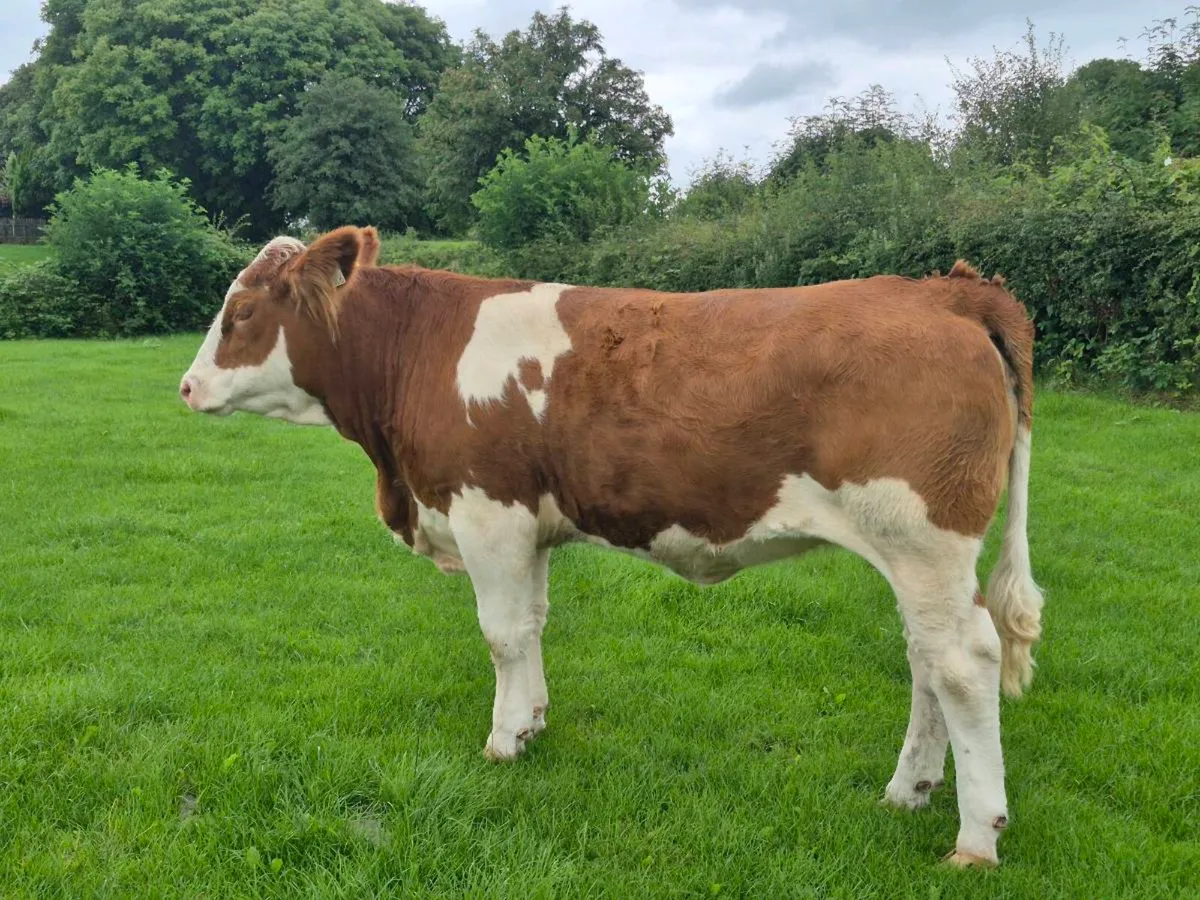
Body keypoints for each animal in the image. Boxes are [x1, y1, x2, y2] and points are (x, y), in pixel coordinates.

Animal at [180, 226, 1044, 867]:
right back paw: (909, 791)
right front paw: (531, 724)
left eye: (242, 310)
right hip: (917, 555)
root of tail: (941, 289)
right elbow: (531, 624)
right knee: (926, 660)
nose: (185, 388)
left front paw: (501, 742)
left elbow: (500, 634)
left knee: (962, 663)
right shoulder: (530, 524)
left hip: (923, 540)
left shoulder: (487, 509)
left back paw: (976, 837)